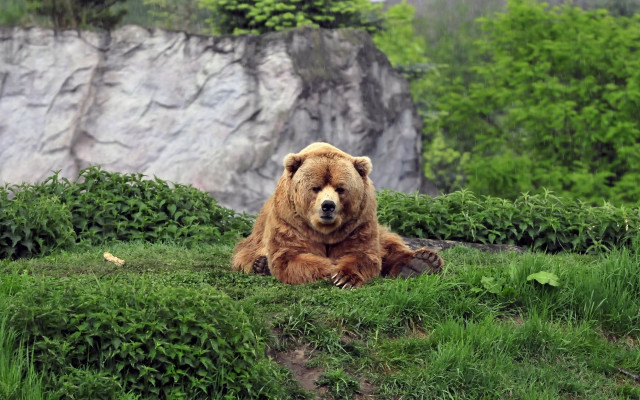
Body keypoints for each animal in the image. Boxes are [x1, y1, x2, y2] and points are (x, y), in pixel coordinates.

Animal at [231, 142, 443, 288]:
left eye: (340, 188)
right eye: (315, 187)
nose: (328, 206)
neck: (325, 231)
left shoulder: (359, 224)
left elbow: (363, 254)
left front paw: (344, 277)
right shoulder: (290, 223)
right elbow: (292, 256)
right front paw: (330, 269)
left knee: (390, 244)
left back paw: (422, 262)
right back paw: (260, 265)